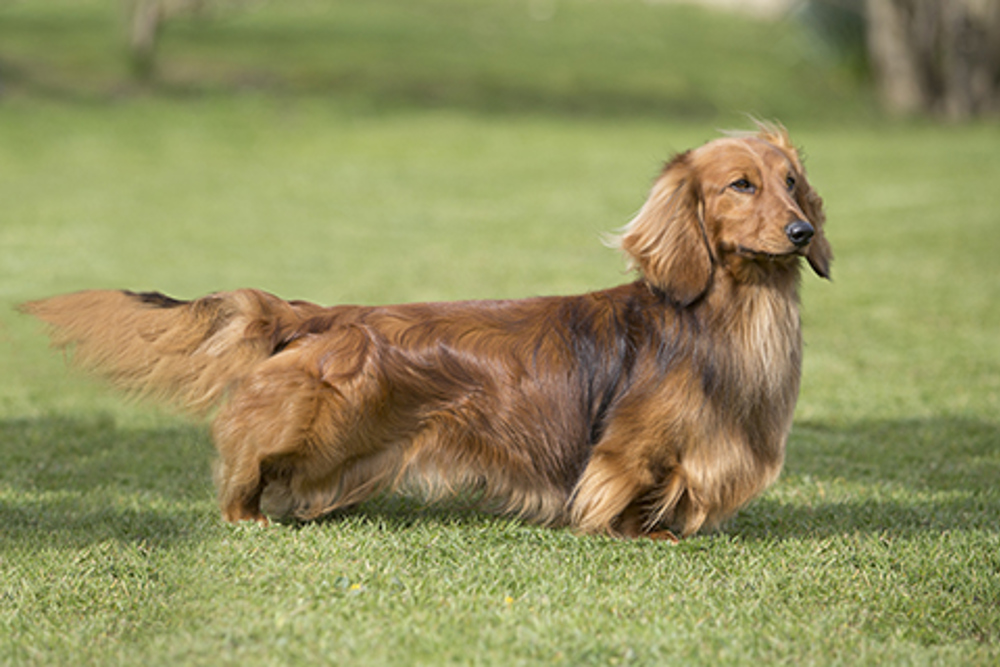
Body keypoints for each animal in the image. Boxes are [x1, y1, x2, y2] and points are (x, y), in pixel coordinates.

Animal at [27, 124, 832, 544]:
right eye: (740, 185)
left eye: (792, 182)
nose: (801, 232)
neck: (730, 316)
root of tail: (323, 314)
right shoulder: (627, 450)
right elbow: (623, 489)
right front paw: (637, 531)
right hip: (309, 422)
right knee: (244, 459)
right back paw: (249, 515)